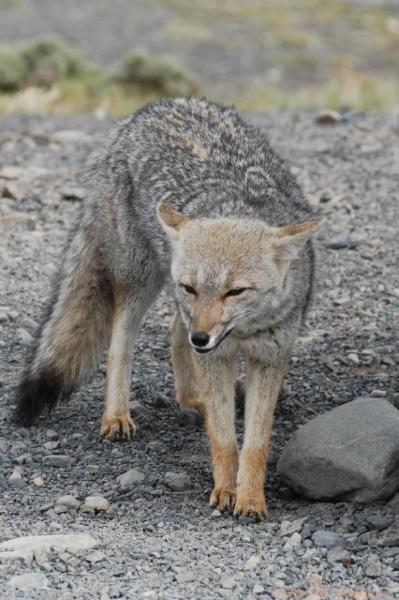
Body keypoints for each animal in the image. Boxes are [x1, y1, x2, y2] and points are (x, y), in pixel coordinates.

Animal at [14, 96, 324, 516]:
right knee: (121, 344)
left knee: (175, 330)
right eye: (192, 287)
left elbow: (256, 443)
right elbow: (225, 440)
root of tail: (153, 107)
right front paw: (225, 491)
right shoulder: (214, 352)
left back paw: (191, 397)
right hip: (139, 281)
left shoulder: (269, 358)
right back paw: (117, 415)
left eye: (235, 292)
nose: (202, 338)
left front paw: (251, 498)